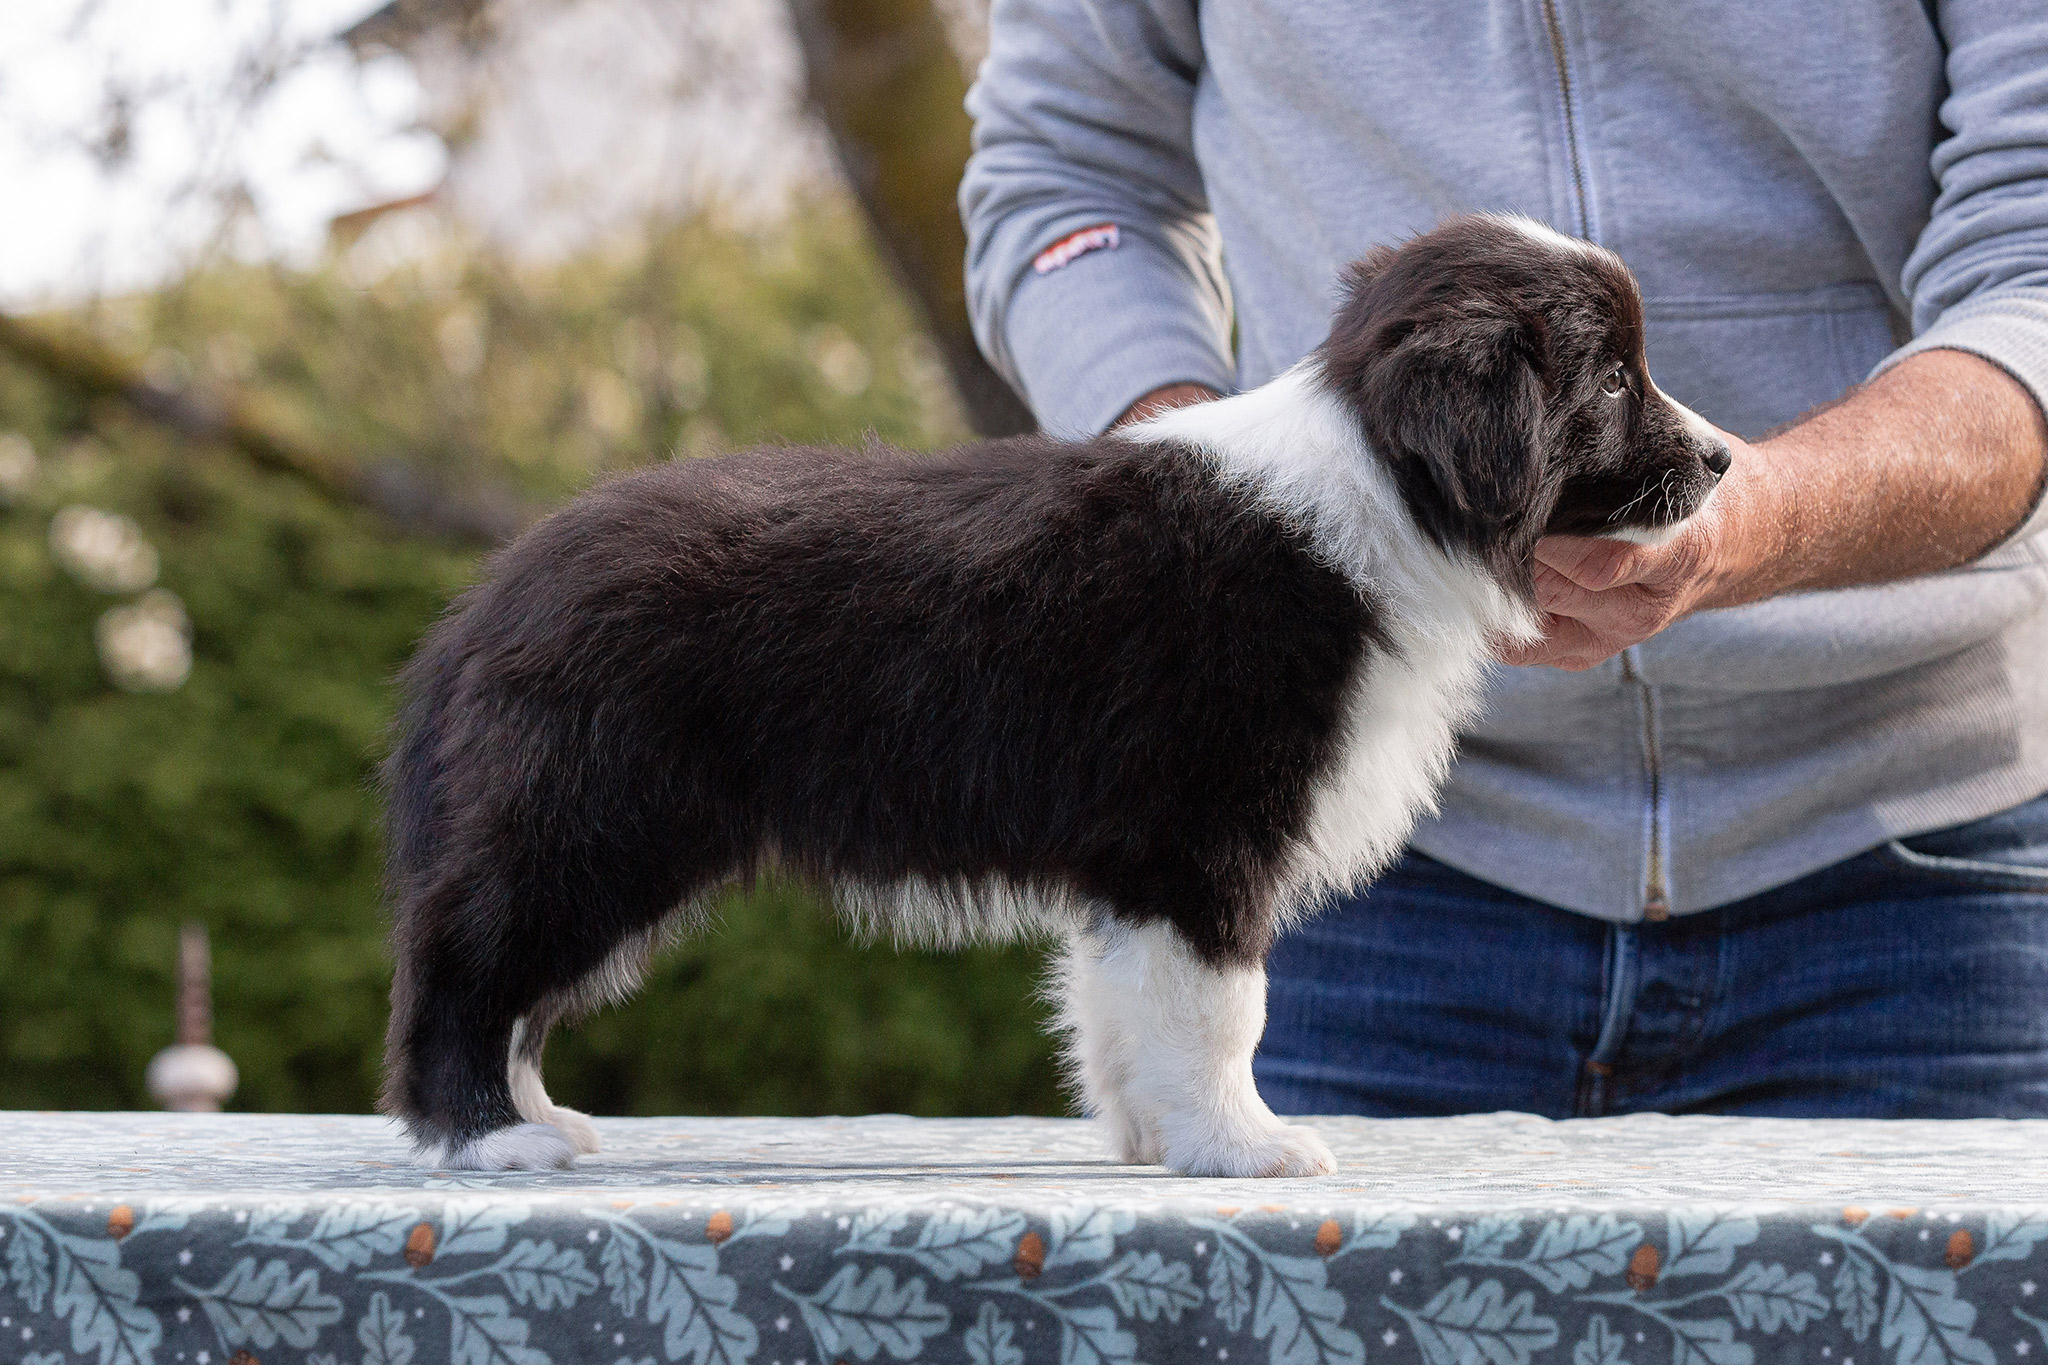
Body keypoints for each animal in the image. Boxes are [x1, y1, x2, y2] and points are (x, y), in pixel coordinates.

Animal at [376, 213, 1720, 1178]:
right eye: (1610, 380)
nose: (1718, 460)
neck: (1380, 488)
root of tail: (494, 593)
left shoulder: (1132, 855)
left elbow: (1119, 999)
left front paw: (1152, 1138)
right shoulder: (1199, 830)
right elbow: (1224, 1005)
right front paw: (1242, 1146)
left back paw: (535, 1115)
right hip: (595, 814)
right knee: (466, 963)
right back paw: (491, 1133)